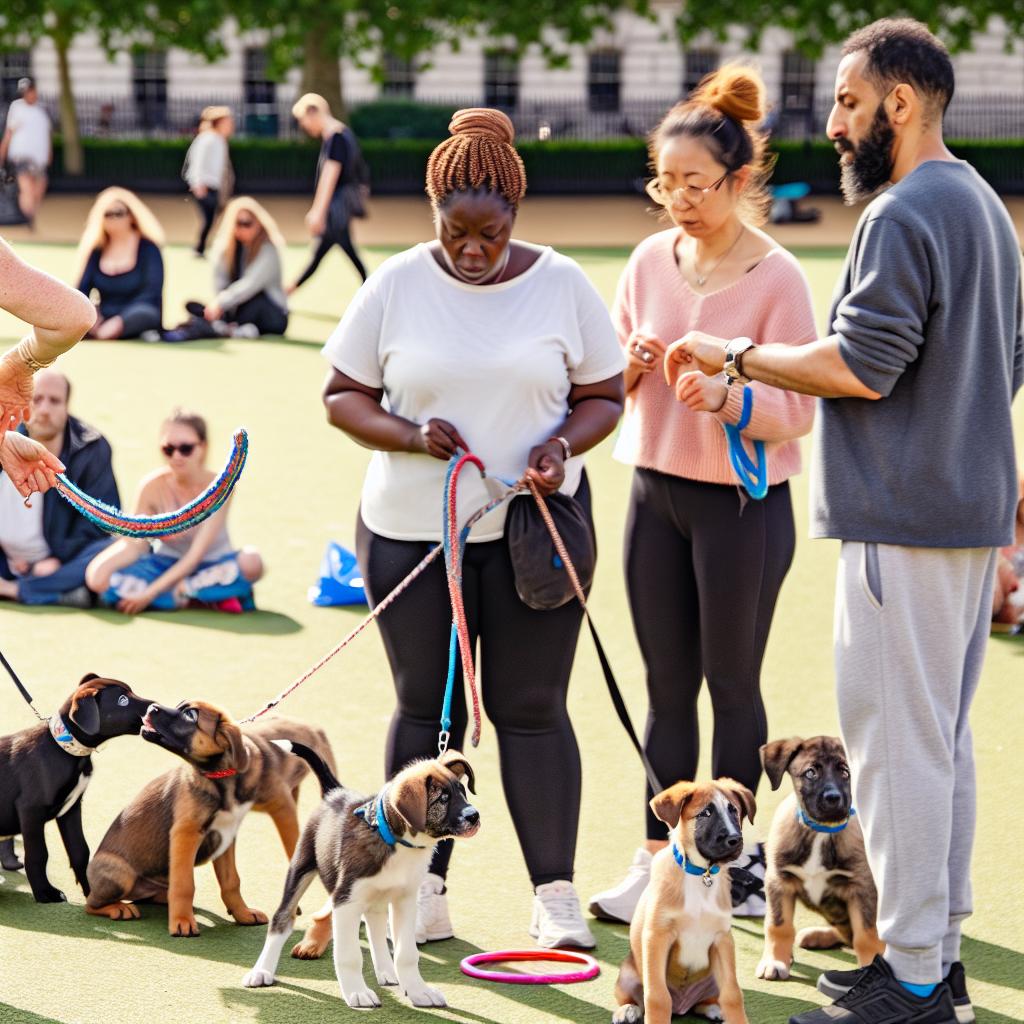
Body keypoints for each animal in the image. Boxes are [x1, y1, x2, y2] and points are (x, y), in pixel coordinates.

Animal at [0, 671, 153, 905]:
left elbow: (80, 851)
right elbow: (38, 854)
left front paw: (92, 892)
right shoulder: (31, 810)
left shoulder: (71, 809)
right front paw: (45, 893)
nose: (155, 707)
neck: (66, 749)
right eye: (122, 700)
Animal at [84, 704, 331, 937]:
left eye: (190, 715)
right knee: (91, 904)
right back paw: (119, 908)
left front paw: (242, 913)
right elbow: (185, 885)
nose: (151, 707)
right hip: (120, 873)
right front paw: (182, 922)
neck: (217, 779)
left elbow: (231, 881)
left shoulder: (225, 837)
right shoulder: (186, 834)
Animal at [243, 741, 479, 1011]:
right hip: (301, 866)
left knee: (375, 927)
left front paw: (418, 991)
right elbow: (349, 955)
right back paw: (261, 971)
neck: (393, 840)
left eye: (463, 792)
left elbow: (407, 953)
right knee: (281, 919)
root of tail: (335, 792)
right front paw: (357, 992)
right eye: (443, 798)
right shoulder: (346, 901)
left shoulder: (405, 900)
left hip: (377, 897)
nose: (474, 816)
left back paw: (388, 973)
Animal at [610, 774, 757, 1024]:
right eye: (705, 813)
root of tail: (682, 1006)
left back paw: (713, 1008)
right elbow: (657, 997)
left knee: (707, 1001)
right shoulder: (657, 937)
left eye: (734, 811)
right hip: (628, 973)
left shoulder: (722, 939)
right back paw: (627, 1010)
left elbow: (733, 994)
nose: (735, 840)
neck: (700, 876)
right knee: (635, 998)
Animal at [757, 737, 884, 983]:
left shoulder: (862, 887)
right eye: (811, 772)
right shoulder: (779, 880)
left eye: (846, 772)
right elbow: (778, 925)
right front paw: (775, 961)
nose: (833, 798)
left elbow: (866, 934)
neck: (822, 831)